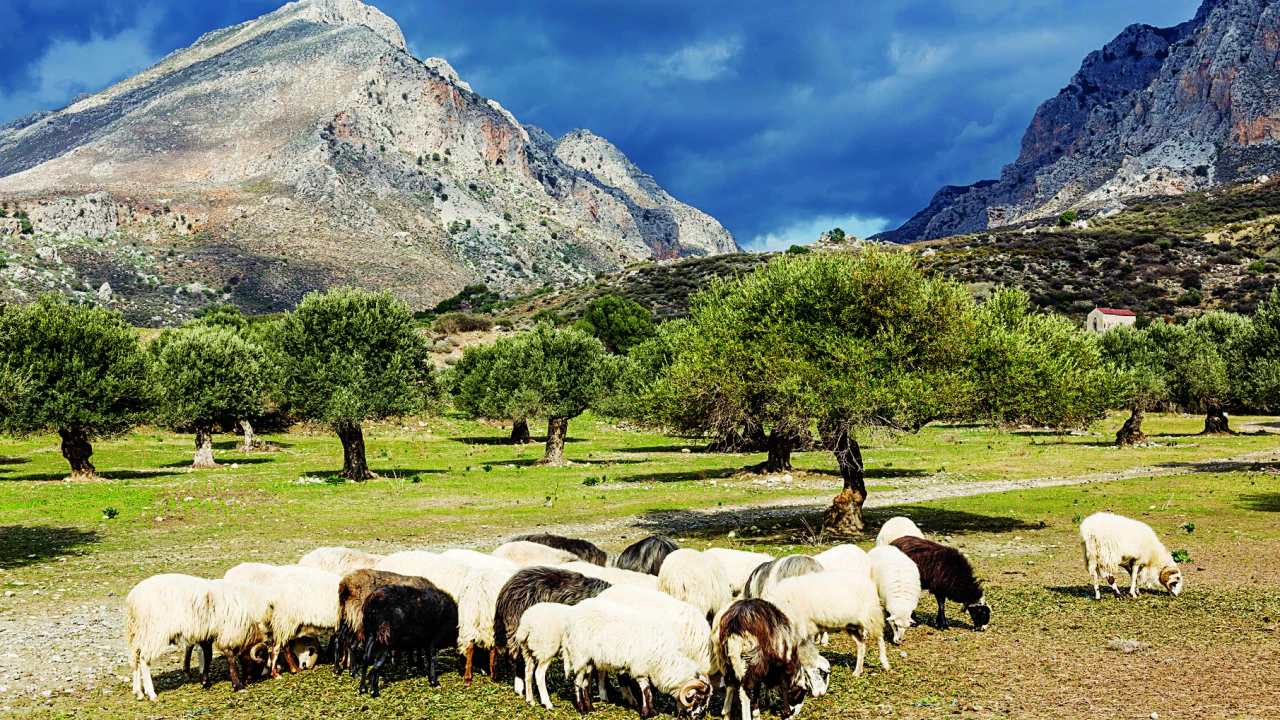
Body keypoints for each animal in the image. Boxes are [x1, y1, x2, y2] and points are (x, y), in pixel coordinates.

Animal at [126, 568, 271, 696]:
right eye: (260, 661)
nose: (249, 681)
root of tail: (132, 599)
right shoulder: (226, 634)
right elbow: (230, 658)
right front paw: (238, 685)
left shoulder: (207, 634)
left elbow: (208, 657)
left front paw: (206, 682)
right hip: (153, 633)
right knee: (144, 659)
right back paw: (151, 693)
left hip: (137, 634)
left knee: (136, 659)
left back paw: (138, 691)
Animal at [565, 594, 716, 717]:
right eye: (699, 698)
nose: (699, 717)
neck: (666, 660)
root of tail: (574, 613)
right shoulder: (640, 668)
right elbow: (647, 691)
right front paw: (649, 713)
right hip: (580, 653)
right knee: (577, 681)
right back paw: (582, 709)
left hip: (589, 659)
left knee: (584, 682)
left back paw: (590, 707)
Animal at [757, 568, 890, 676]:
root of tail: (868, 581)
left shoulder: (802, 628)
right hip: (851, 625)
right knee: (861, 644)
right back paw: (858, 671)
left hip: (870, 616)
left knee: (880, 638)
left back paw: (885, 663)